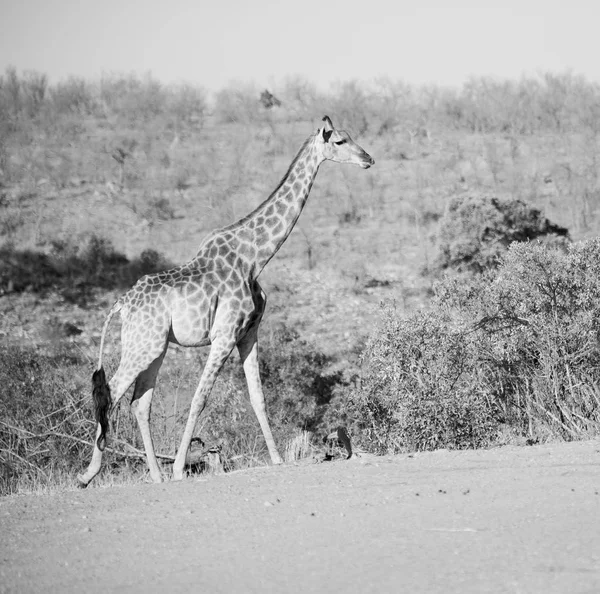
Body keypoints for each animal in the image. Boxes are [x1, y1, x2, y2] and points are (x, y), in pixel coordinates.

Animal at [77, 114, 372, 486]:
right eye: (340, 142)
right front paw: (180, 468)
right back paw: (89, 474)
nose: (368, 158)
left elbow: (258, 396)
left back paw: (155, 475)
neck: (256, 257)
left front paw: (277, 459)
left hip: (155, 346)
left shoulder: (249, 333)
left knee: (139, 402)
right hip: (143, 345)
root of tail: (122, 305)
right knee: (112, 392)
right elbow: (199, 398)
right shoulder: (224, 335)